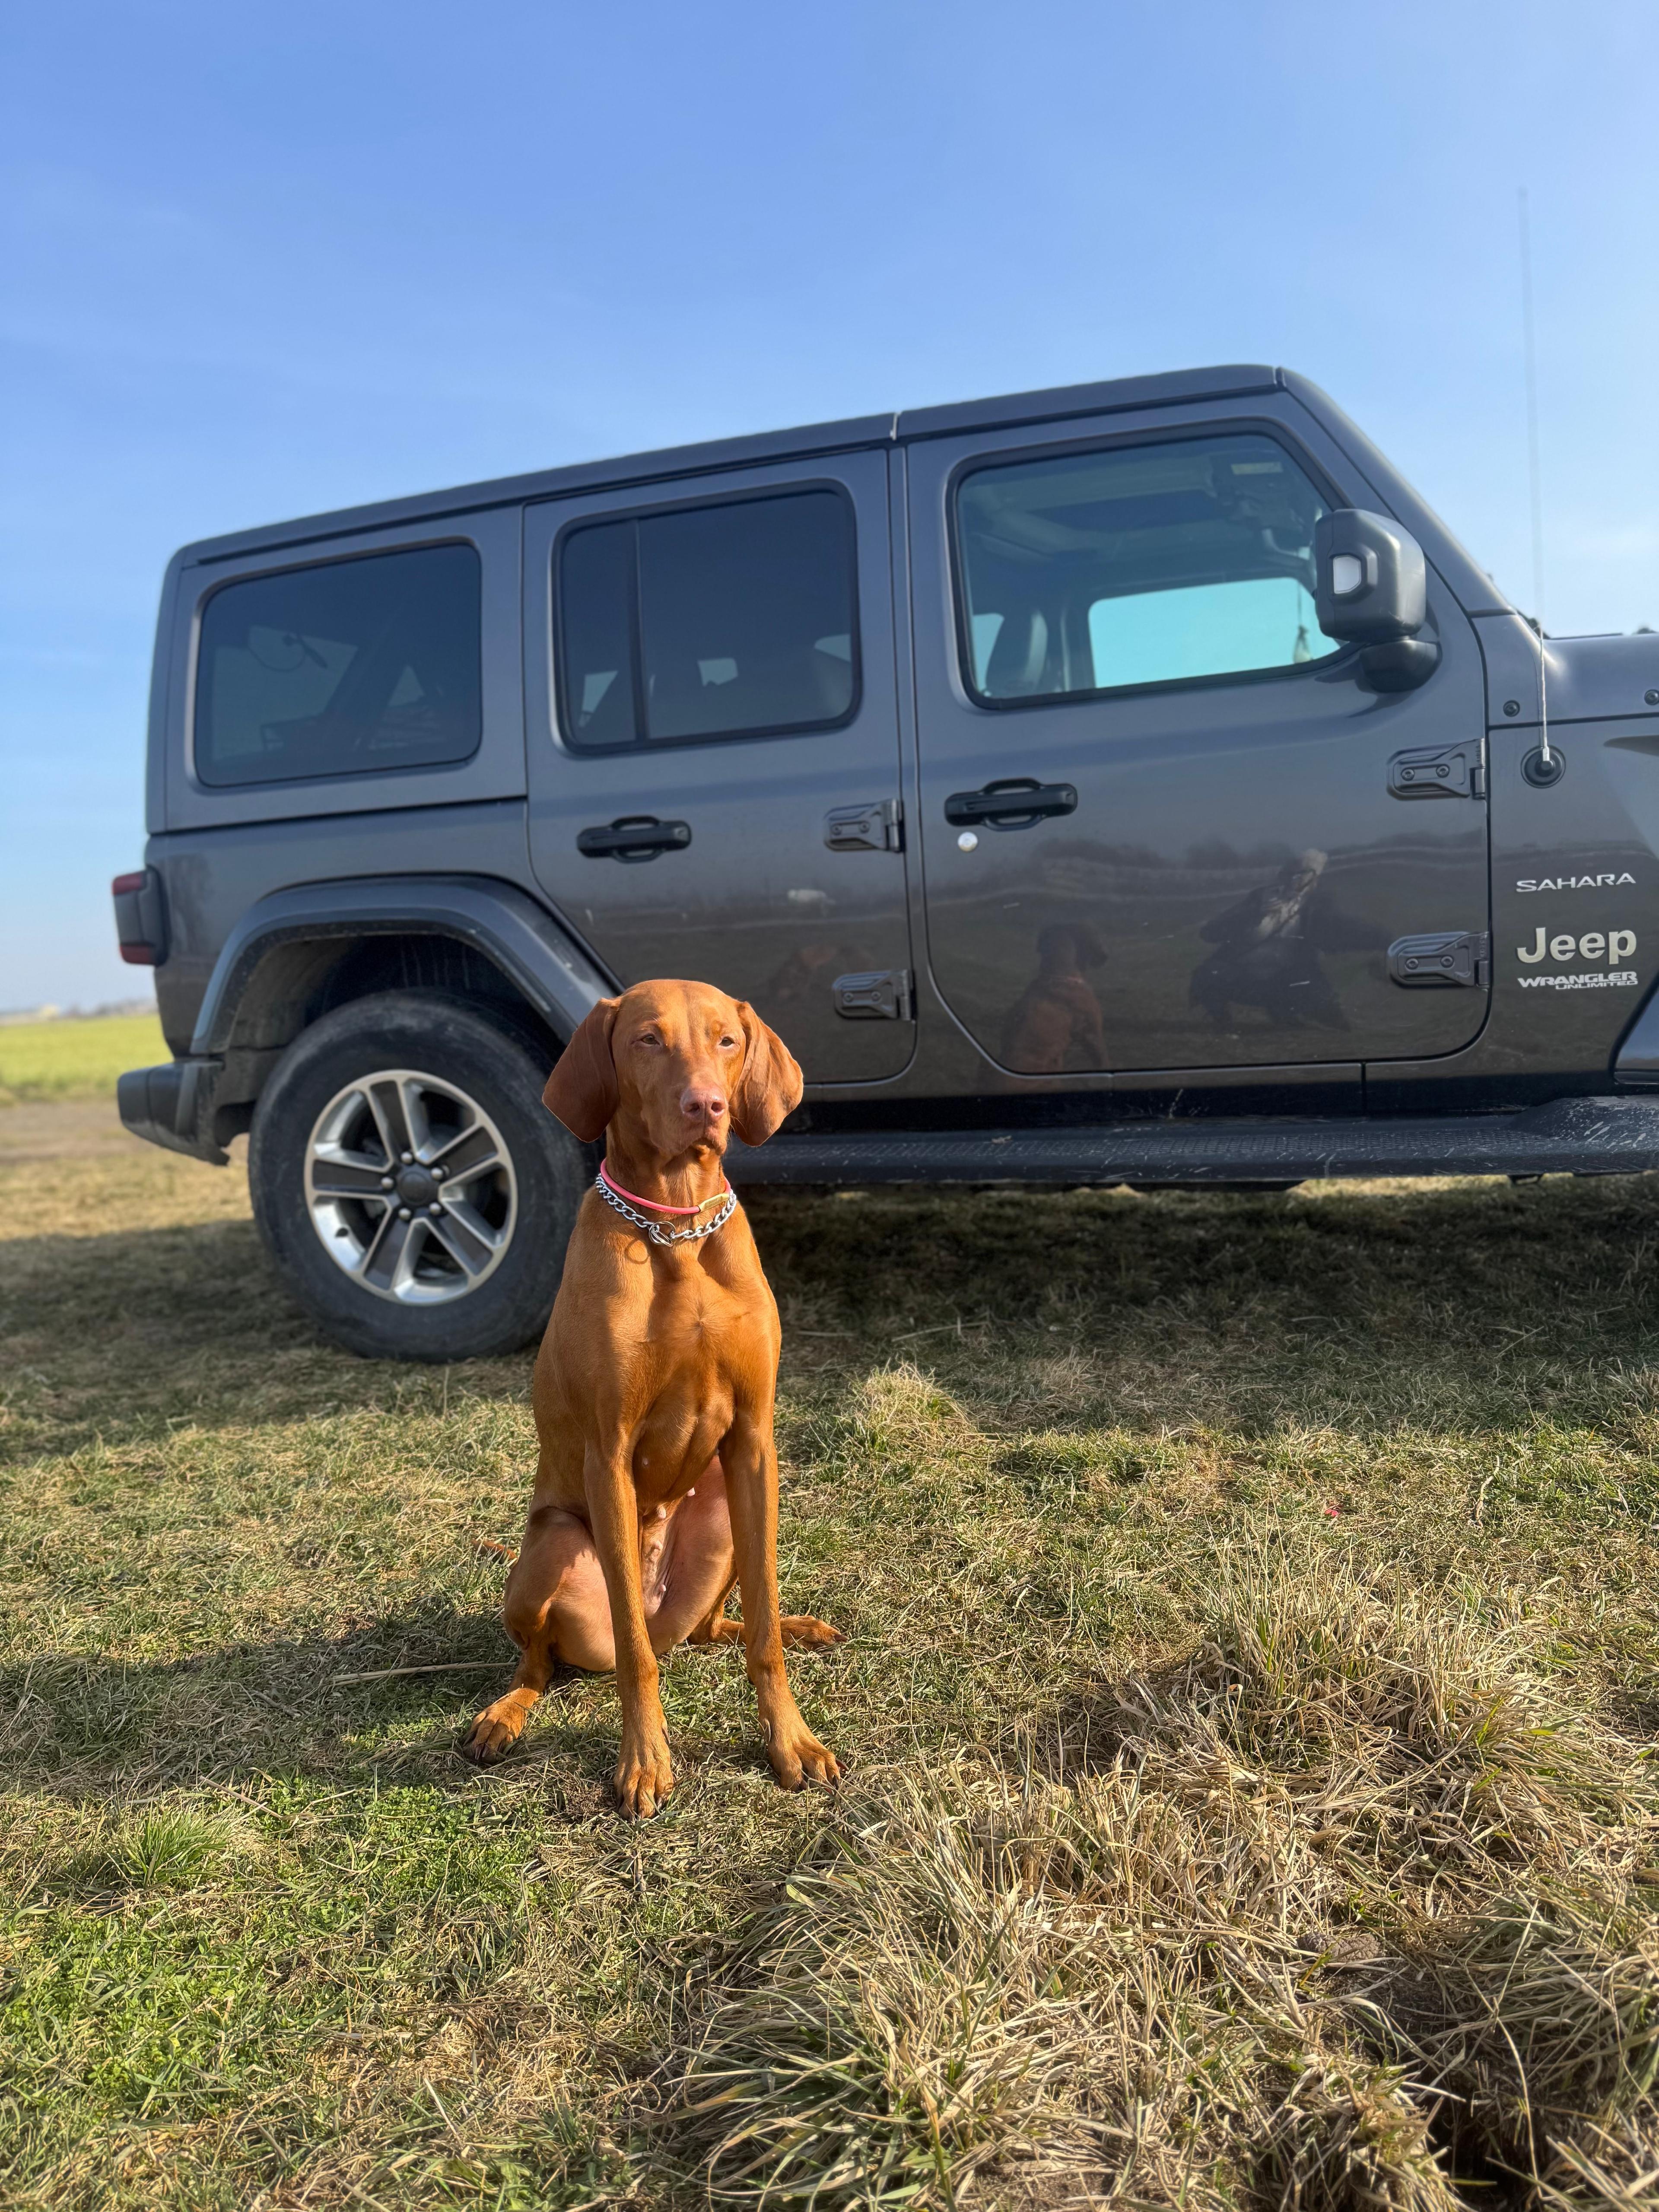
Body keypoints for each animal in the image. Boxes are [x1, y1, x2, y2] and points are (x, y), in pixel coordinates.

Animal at [461, 980, 840, 1817]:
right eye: (647, 1040)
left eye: (727, 1040)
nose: (707, 1106)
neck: (678, 1229)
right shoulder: (608, 1454)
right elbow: (636, 1659)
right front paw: (644, 1761)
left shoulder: (754, 1443)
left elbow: (762, 1630)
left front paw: (791, 1741)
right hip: (551, 1549)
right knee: (553, 1661)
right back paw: (504, 1716)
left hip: (725, 1520)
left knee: (715, 1630)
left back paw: (799, 1626)